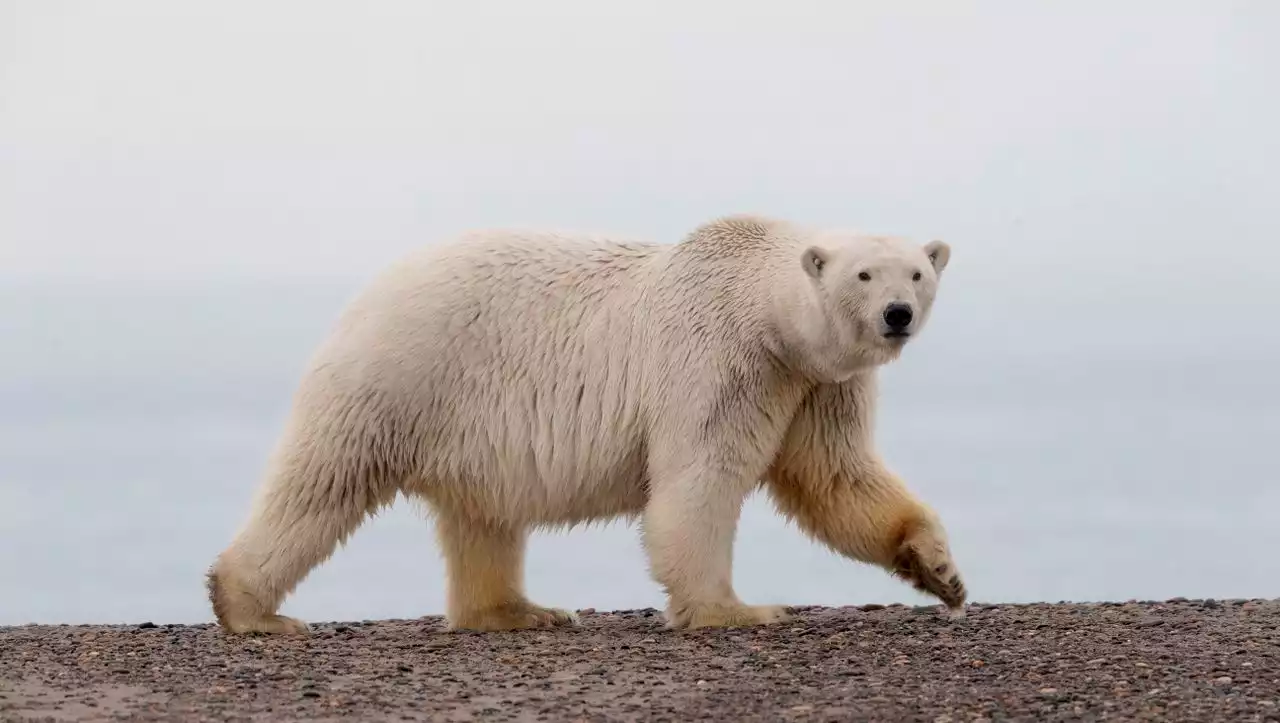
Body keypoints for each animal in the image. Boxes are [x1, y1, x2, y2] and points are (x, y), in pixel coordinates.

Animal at [204, 212, 962, 632]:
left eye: (917, 273)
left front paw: (940, 570)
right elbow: (700, 480)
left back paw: (518, 610)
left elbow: (837, 477)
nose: (897, 314)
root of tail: (367, 291)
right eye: (864, 275)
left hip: (465, 418)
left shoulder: (817, 384)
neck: (763, 310)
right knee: (323, 480)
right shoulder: (720, 359)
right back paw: (248, 605)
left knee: (482, 516)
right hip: (403, 374)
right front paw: (736, 609)